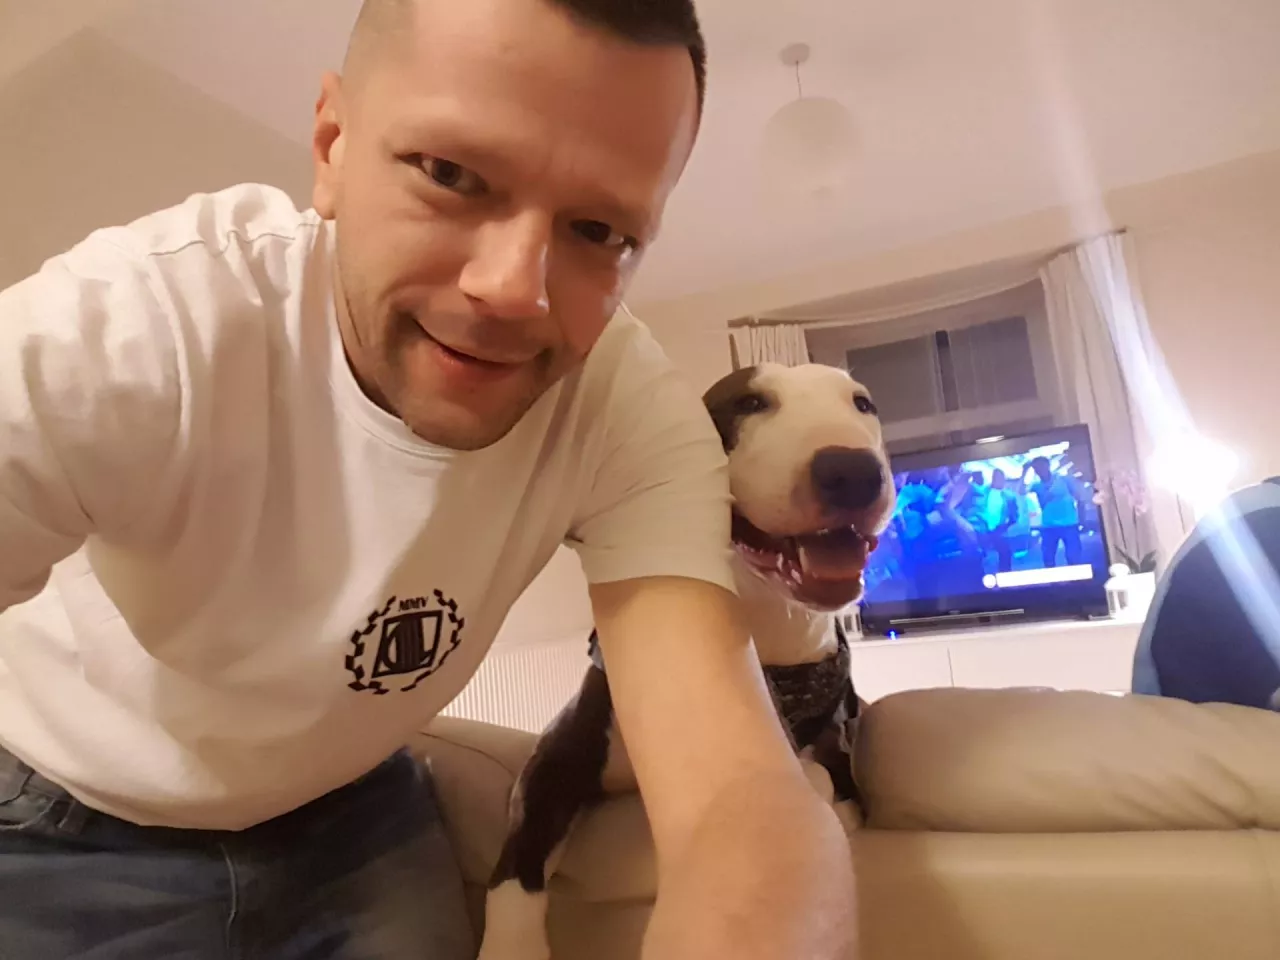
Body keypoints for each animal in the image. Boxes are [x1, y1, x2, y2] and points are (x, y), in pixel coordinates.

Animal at [476, 362, 894, 960]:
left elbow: (819, 777)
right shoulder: (555, 761)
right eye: (747, 403)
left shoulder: (840, 757)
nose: (854, 470)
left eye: (862, 404)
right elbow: (516, 870)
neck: (768, 631)